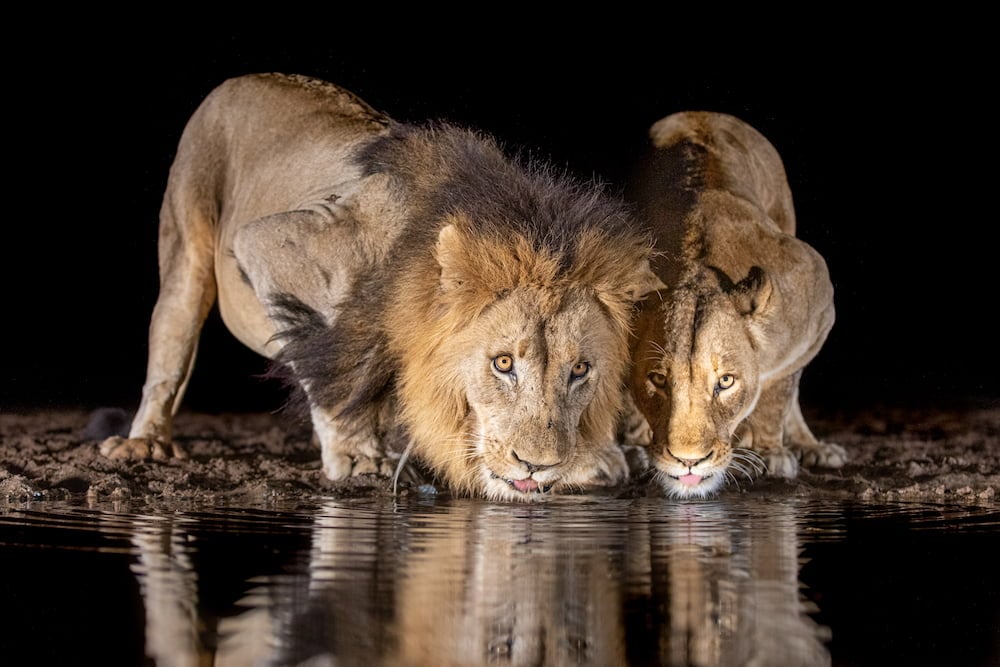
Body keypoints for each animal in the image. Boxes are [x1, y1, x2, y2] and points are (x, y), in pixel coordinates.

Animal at [99, 73, 665, 502]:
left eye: (580, 370)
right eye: (502, 363)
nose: (537, 465)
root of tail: (245, 78)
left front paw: (606, 457)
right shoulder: (273, 243)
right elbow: (337, 374)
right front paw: (357, 458)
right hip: (188, 251)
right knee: (170, 357)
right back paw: (144, 442)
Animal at [623, 111, 848, 498]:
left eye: (726, 381)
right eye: (658, 379)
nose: (689, 462)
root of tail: (702, 113)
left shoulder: (816, 302)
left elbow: (780, 389)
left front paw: (771, 453)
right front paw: (632, 446)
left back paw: (811, 447)